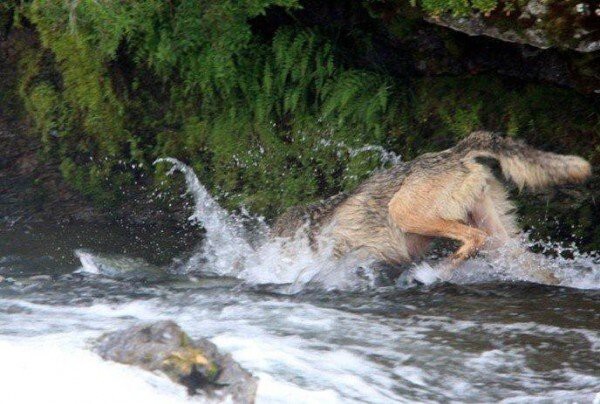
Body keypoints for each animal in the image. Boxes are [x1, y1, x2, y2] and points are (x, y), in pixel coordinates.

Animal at [274, 131, 592, 282]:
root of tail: (456, 152)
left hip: (405, 213)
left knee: (473, 239)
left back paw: (433, 274)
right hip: (501, 240)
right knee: (541, 270)